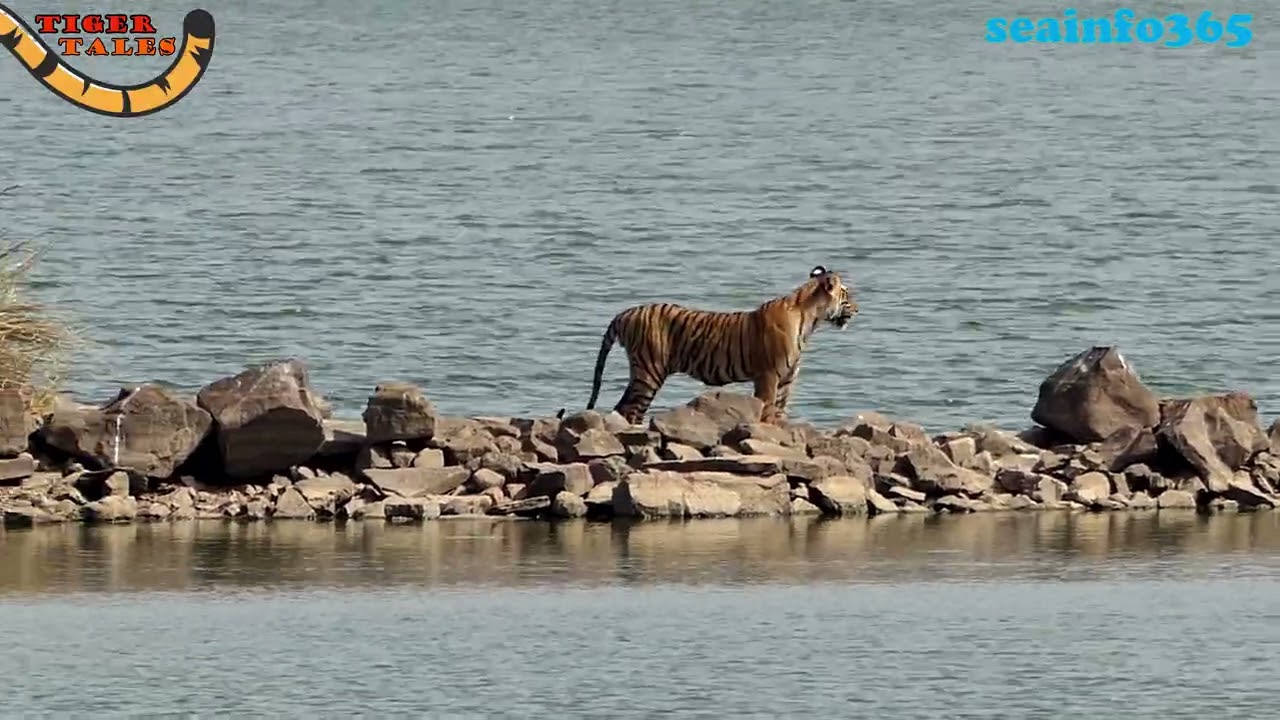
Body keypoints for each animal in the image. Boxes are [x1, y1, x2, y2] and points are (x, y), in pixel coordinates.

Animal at [584, 265, 858, 426]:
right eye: (846, 295)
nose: (857, 309)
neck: (810, 320)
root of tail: (626, 312)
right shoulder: (768, 376)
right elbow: (767, 411)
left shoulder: (787, 380)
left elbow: (780, 413)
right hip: (649, 372)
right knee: (629, 409)